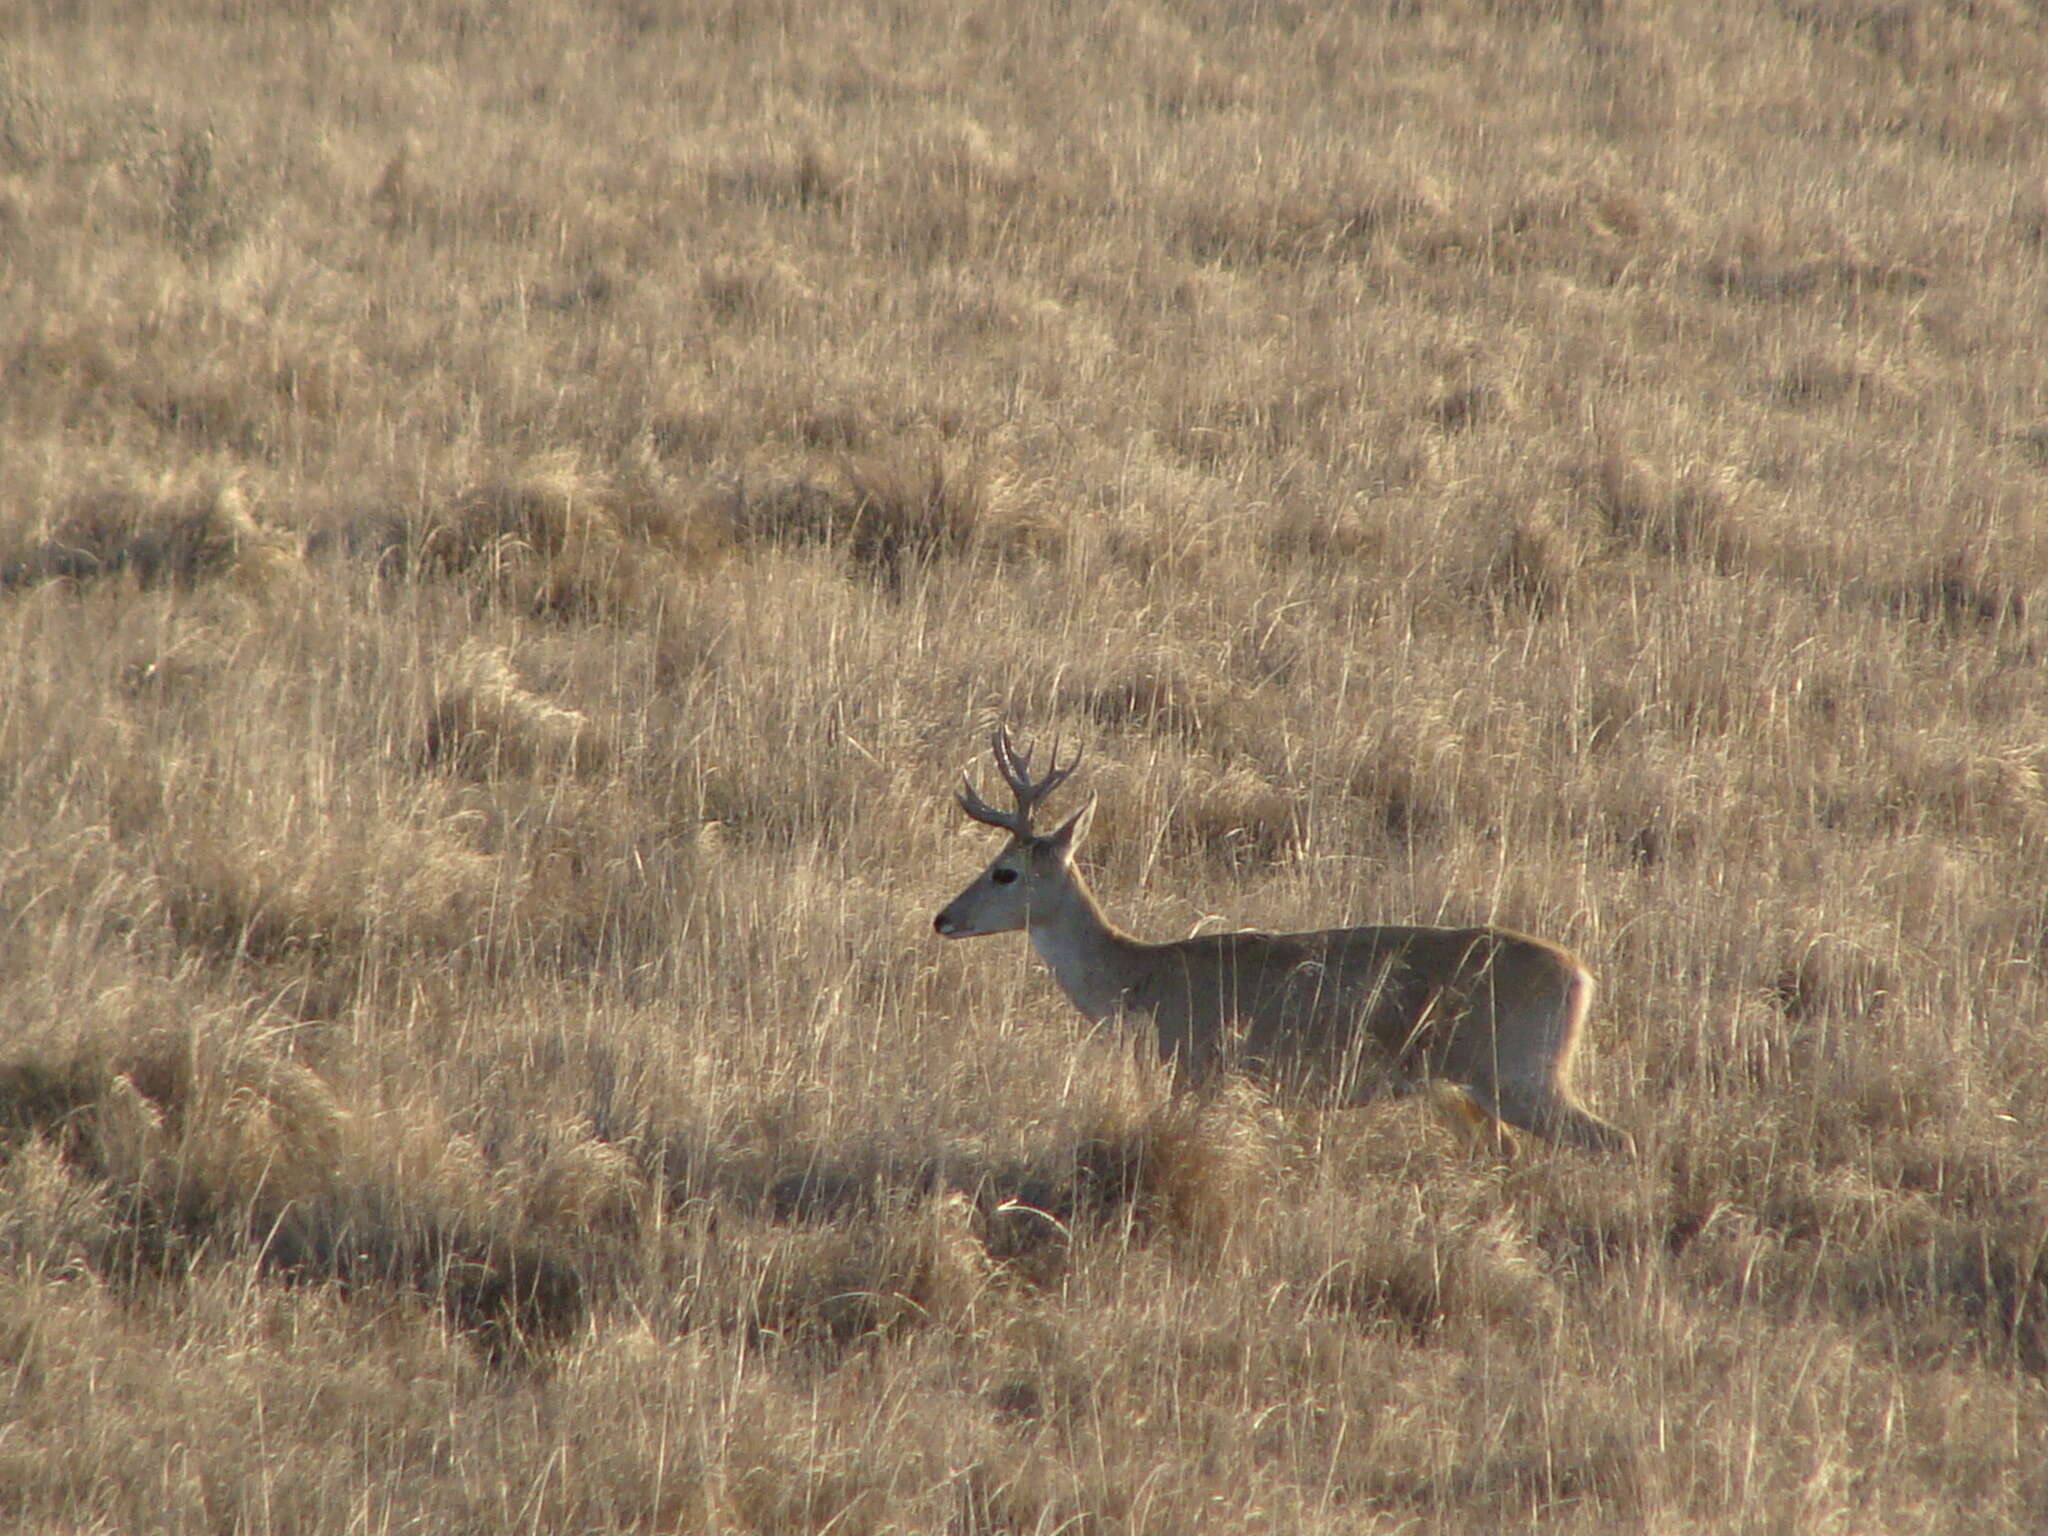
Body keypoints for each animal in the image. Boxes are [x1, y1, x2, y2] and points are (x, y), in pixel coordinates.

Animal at [933, 729, 1630, 1155]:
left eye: (1005, 871)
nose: (943, 918)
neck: (1140, 980)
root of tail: (1583, 975)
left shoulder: (1201, 1068)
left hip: (1521, 1072)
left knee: (1616, 1139)